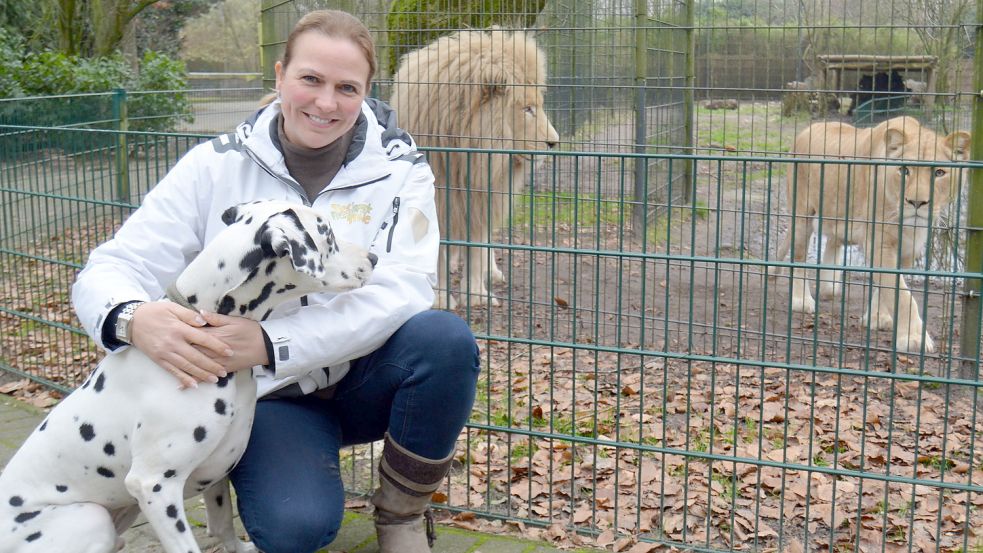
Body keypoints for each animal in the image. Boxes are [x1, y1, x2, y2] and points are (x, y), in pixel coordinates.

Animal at [0, 199, 374, 552]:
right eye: (327, 234)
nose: (373, 257)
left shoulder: (218, 471)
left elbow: (222, 525)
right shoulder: (154, 486)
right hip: (92, 518)